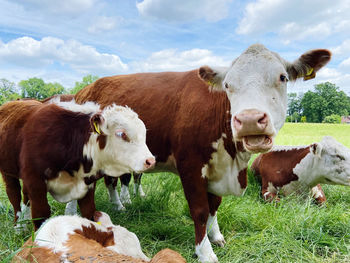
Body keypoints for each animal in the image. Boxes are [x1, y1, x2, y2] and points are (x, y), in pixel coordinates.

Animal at [0, 100, 154, 230]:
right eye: (121, 134)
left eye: (144, 134)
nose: (150, 160)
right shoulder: (35, 181)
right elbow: (41, 214)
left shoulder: (87, 183)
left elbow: (89, 212)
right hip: (8, 172)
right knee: (14, 194)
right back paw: (19, 226)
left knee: (25, 196)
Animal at [74, 43, 330, 262]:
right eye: (227, 85)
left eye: (282, 77)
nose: (249, 119)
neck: (232, 159)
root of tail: (85, 89)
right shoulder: (191, 166)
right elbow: (199, 211)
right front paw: (204, 251)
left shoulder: (217, 169)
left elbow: (214, 206)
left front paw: (216, 236)